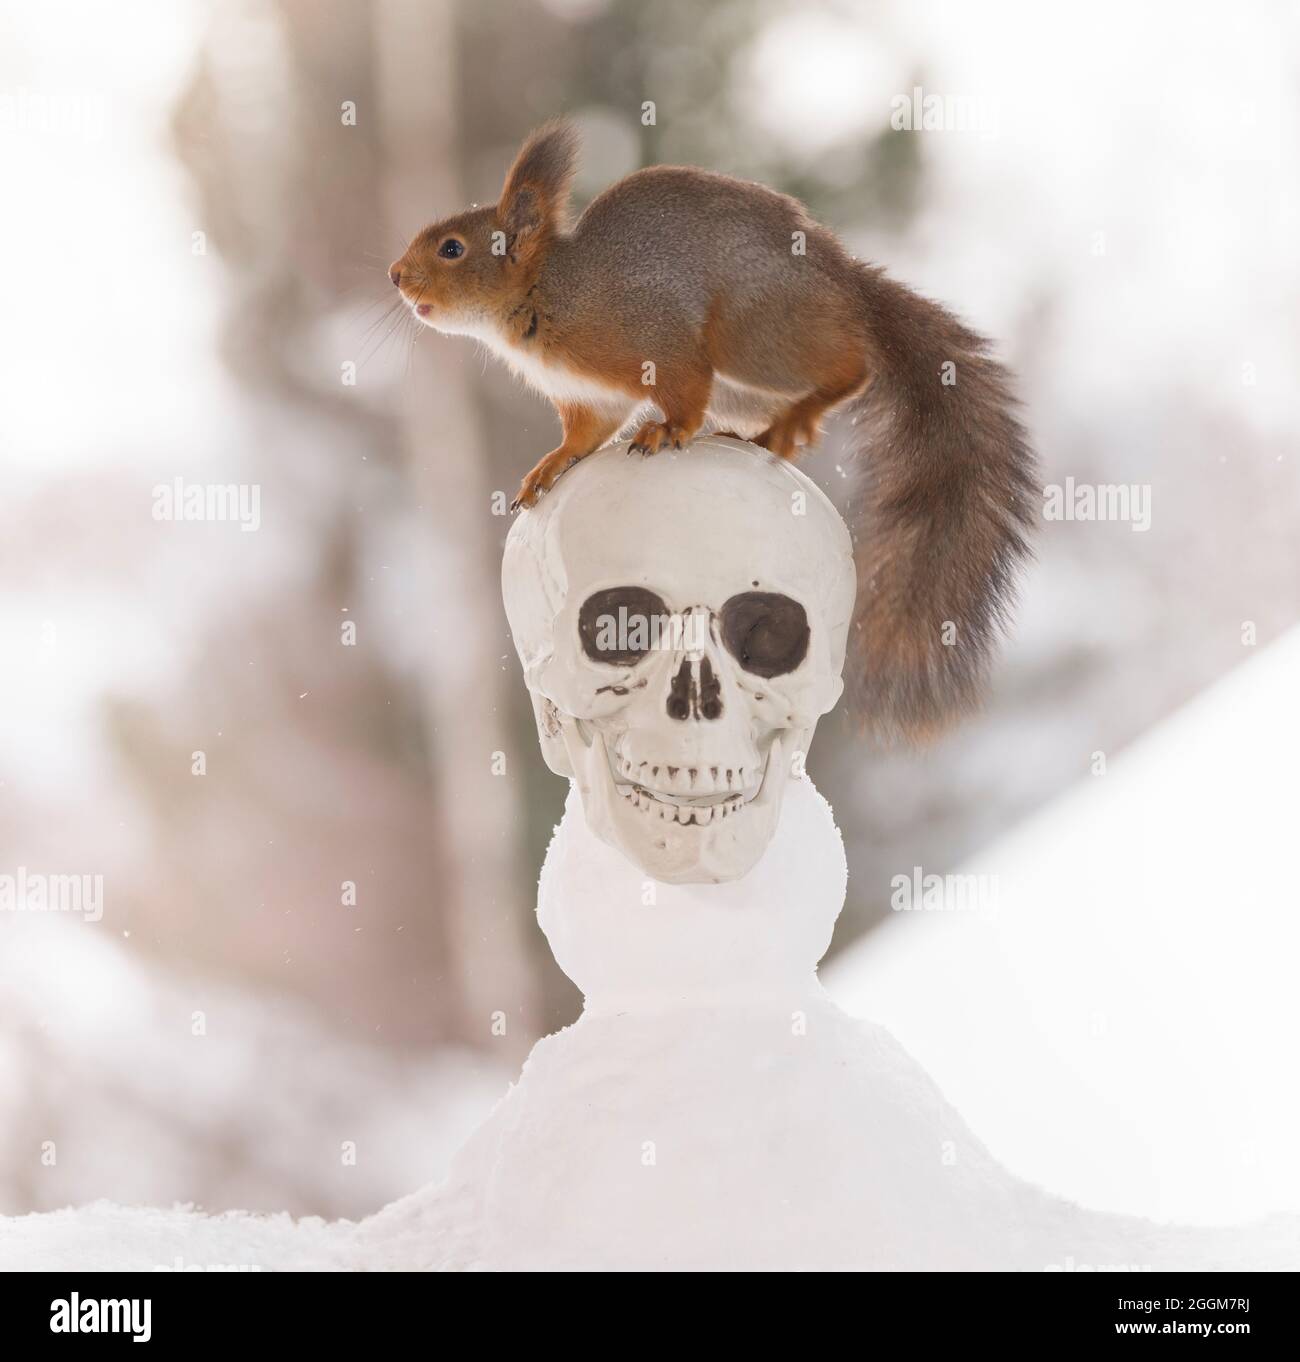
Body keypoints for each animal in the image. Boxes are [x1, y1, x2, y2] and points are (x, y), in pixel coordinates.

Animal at [390, 119, 1036, 743]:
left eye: (452, 248)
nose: (395, 276)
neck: (548, 292)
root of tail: (845, 284)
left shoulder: (656, 338)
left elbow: (683, 390)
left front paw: (668, 430)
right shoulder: (588, 399)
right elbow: (582, 439)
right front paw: (547, 468)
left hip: (755, 336)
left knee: (853, 364)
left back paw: (798, 413)